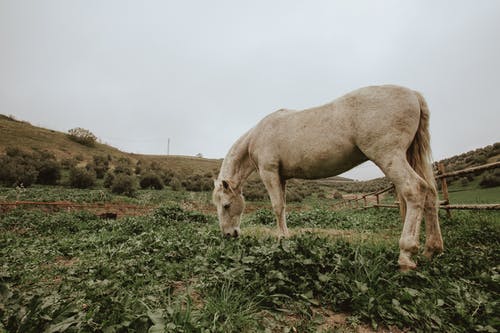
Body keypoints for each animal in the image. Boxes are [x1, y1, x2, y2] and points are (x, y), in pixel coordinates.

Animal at [213, 84, 444, 268]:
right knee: (431, 195)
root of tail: (413, 94)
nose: (228, 235)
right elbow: (283, 207)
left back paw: (406, 254)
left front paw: (281, 239)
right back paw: (431, 249)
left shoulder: (269, 172)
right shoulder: (282, 177)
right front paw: (286, 237)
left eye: (226, 205)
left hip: (389, 156)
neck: (259, 134)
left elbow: (277, 207)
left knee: (415, 189)